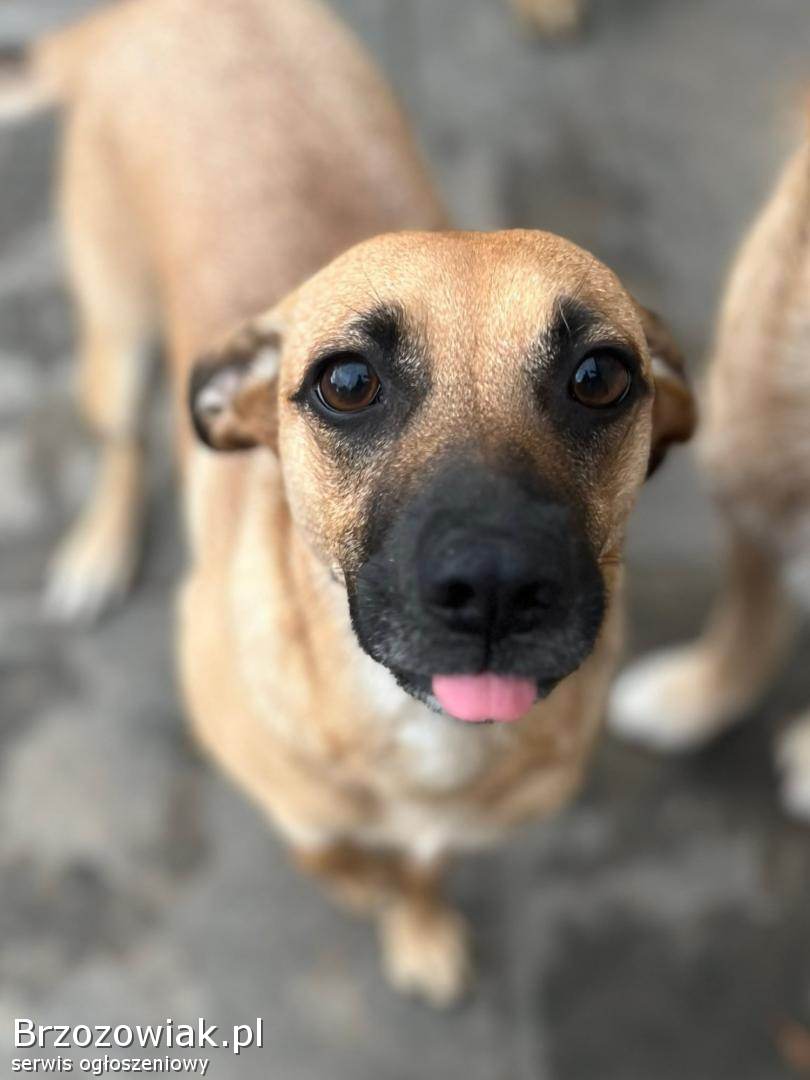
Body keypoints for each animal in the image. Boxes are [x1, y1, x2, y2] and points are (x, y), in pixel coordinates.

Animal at [4, 0, 694, 1003]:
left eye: (600, 376)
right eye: (348, 382)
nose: (494, 590)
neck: (417, 739)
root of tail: (143, 16)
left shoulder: (461, 828)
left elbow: (423, 863)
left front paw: (418, 920)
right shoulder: (296, 811)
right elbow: (336, 856)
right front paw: (373, 893)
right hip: (117, 332)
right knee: (121, 439)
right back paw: (97, 550)